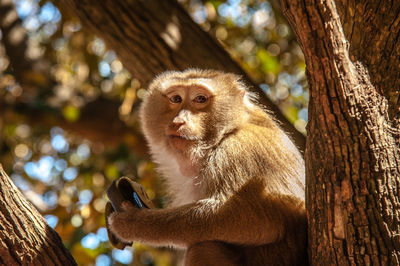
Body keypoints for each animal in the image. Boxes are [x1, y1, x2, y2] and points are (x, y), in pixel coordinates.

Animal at [108, 69, 308, 266]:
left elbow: (259, 214)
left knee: (203, 248)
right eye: (176, 99)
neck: (224, 135)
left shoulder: (242, 150)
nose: (179, 121)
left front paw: (134, 222)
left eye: (200, 99)